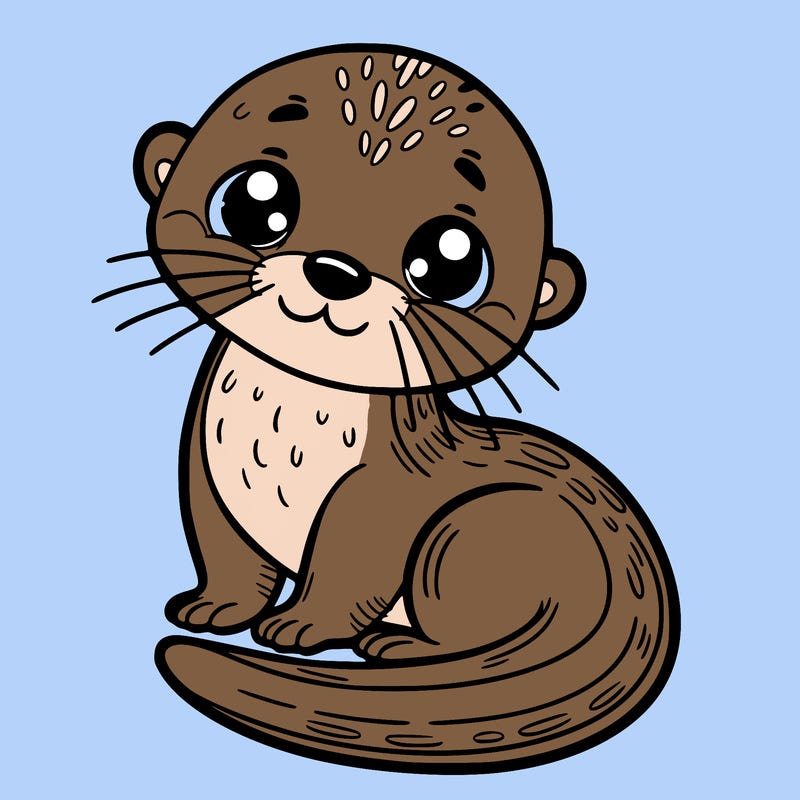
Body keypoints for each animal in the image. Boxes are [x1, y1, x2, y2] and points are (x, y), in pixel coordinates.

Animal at [100, 45, 679, 773]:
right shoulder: (208, 465)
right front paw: (213, 608)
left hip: (473, 529)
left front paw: (299, 626)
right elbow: (224, 549)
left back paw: (400, 647)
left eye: (450, 261)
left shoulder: (382, 491)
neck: (281, 432)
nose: (336, 270)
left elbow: (352, 564)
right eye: (255, 200)